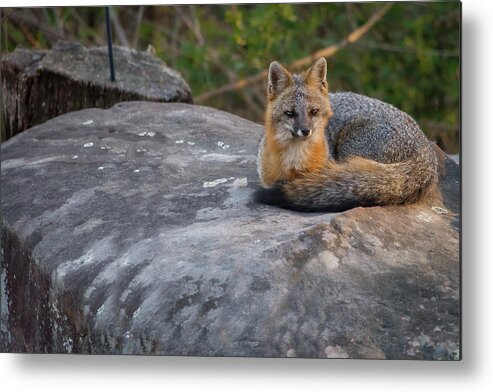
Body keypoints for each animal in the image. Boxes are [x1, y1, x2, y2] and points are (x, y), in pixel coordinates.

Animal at [256, 57, 436, 211]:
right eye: (290, 113)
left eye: (314, 111)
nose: (306, 131)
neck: (295, 160)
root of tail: (425, 145)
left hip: (350, 150)